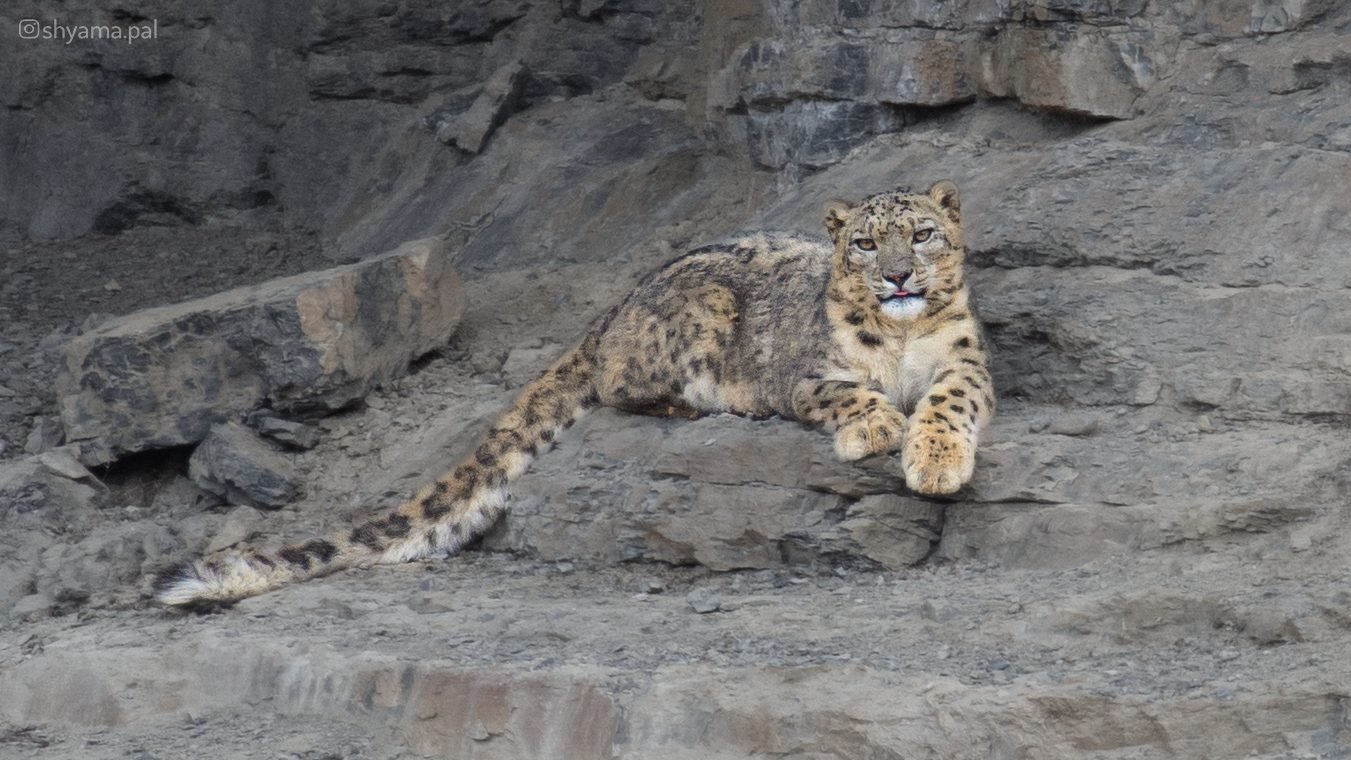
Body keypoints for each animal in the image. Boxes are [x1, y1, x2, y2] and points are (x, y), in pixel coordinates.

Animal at [155, 180, 995, 608]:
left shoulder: (965, 361)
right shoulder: (808, 373)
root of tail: (611, 306)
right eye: (865, 242)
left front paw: (935, 463)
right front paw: (876, 430)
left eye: (921, 234)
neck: (900, 342)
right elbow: (844, 395)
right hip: (693, 320)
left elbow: (949, 402)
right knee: (618, 382)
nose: (897, 276)